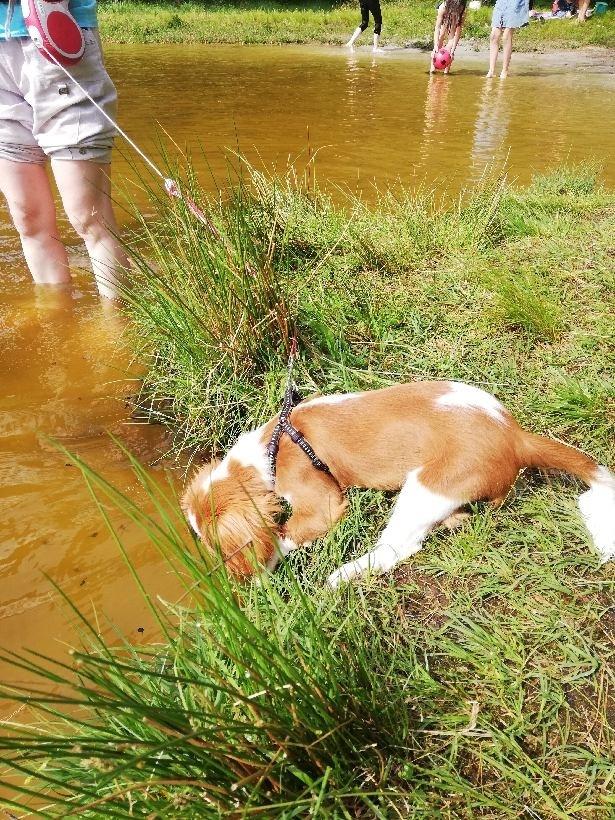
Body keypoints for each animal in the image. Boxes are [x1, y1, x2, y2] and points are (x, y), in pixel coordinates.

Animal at [182, 382, 615, 588]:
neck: (273, 447)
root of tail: (514, 435)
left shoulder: (322, 505)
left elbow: (283, 535)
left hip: (426, 486)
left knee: (397, 548)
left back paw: (341, 577)